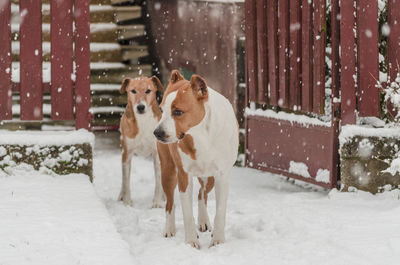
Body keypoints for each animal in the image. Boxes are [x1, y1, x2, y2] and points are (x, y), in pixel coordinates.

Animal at [118, 75, 165, 207]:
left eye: (148, 91)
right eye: (133, 91)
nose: (140, 107)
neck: (143, 120)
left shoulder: (157, 154)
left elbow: (159, 179)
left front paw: (157, 202)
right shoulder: (127, 153)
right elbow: (126, 180)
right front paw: (127, 202)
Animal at [154, 70, 238, 248]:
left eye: (178, 112)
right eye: (161, 110)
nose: (157, 132)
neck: (200, 133)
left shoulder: (222, 175)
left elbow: (220, 210)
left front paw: (218, 240)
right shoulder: (183, 175)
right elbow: (187, 213)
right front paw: (191, 241)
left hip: (209, 177)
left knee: (202, 193)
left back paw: (204, 221)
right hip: (168, 171)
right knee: (169, 203)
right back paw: (169, 228)